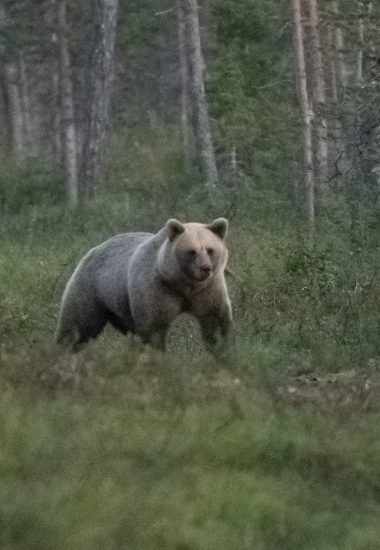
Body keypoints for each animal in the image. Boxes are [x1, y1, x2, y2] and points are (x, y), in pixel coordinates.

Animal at [56, 219, 232, 354]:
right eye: (192, 251)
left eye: (210, 249)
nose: (205, 268)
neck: (182, 283)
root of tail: (92, 250)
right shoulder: (156, 289)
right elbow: (154, 327)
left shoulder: (207, 290)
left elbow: (214, 318)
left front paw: (222, 349)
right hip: (90, 290)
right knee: (77, 325)